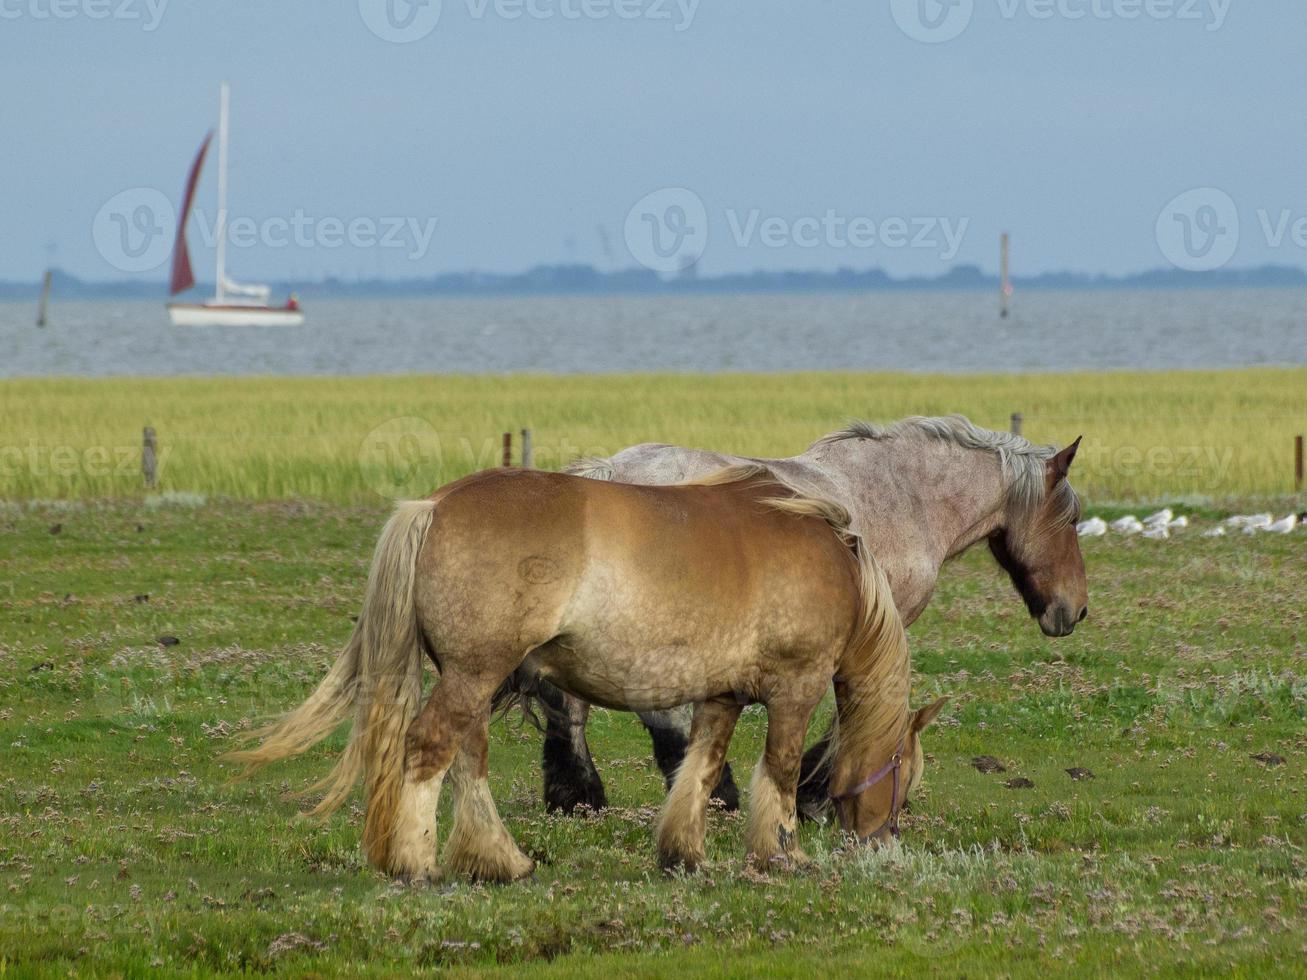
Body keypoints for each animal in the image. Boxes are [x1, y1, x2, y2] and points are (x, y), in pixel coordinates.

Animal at [224, 467, 941, 883]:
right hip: (474, 674)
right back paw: (417, 863)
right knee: (430, 749)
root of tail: (435, 503)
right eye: (904, 774)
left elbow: (701, 768)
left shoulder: (721, 697)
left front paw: (684, 852)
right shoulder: (796, 685)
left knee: (467, 759)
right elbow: (782, 771)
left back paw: (499, 860)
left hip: (474, 679)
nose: (883, 843)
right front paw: (781, 855)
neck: (836, 565)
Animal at [525, 418, 1087, 815]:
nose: (1076, 610)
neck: (907, 495)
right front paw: (820, 792)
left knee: (569, 703)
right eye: (1073, 519)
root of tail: (607, 473)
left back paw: (579, 797)